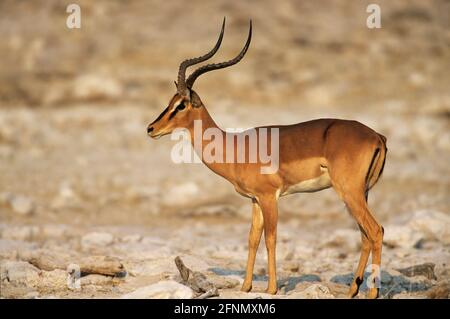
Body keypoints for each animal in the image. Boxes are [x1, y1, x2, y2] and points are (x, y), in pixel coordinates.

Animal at [148, 19, 386, 300]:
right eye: (171, 100)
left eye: (181, 105)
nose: (151, 128)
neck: (235, 148)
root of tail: (377, 136)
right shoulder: (255, 200)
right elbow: (252, 239)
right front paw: (245, 287)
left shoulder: (270, 197)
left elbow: (271, 238)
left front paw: (271, 288)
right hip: (361, 193)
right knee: (365, 235)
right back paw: (352, 290)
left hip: (349, 192)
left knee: (375, 230)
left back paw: (372, 293)